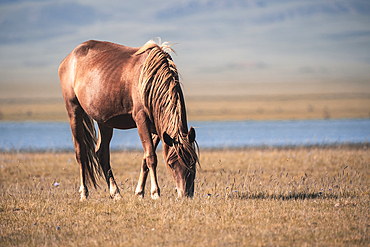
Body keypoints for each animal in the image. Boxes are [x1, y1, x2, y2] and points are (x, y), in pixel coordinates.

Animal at [58, 39, 197, 201]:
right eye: (171, 164)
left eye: (193, 162)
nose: (185, 195)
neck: (150, 81)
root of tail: (69, 58)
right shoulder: (141, 120)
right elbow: (151, 157)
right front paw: (155, 193)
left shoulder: (157, 129)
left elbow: (145, 159)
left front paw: (140, 192)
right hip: (74, 111)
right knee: (80, 152)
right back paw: (84, 193)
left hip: (104, 122)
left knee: (101, 153)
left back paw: (115, 192)